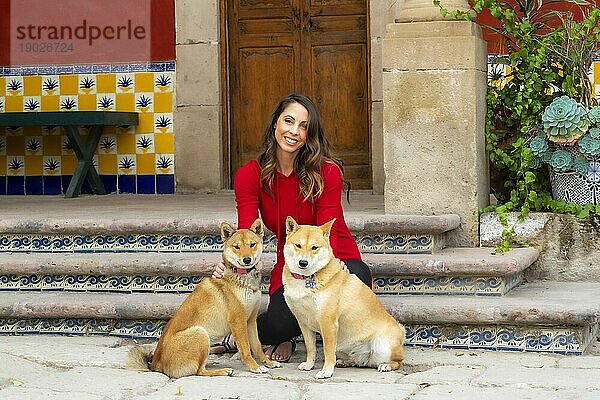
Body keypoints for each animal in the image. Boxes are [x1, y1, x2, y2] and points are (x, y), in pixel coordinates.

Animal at [127, 219, 278, 378]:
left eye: (252, 244)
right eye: (236, 247)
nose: (247, 259)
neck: (242, 278)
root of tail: (156, 364)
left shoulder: (251, 320)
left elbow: (257, 346)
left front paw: (268, 362)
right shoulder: (238, 321)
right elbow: (246, 348)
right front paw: (254, 367)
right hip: (200, 333)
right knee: (200, 371)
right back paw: (223, 371)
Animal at [282, 217, 406, 380]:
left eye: (314, 247)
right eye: (298, 245)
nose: (303, 263)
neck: (307, 278)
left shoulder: (328, 322)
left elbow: (327, 352)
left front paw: (326, 371)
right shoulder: (303, 322)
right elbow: (311, 348)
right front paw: (309, 365)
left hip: (382, 346)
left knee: (398, 361)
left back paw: (386, 365)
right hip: (343, 346)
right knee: (357, 361)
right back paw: (345, 361)